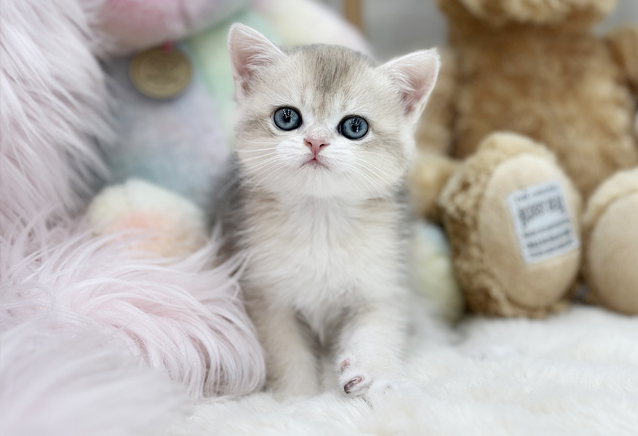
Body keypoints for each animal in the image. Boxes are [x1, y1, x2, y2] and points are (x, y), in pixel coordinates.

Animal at [223, 23, 439, 398]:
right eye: (287, 117)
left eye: (355, 127)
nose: (316, 141)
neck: (320, 218)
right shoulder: (267, 298)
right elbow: (288, 354)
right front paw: (299, 398)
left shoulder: (382, 282)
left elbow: (377, 329)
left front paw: (373, 373)